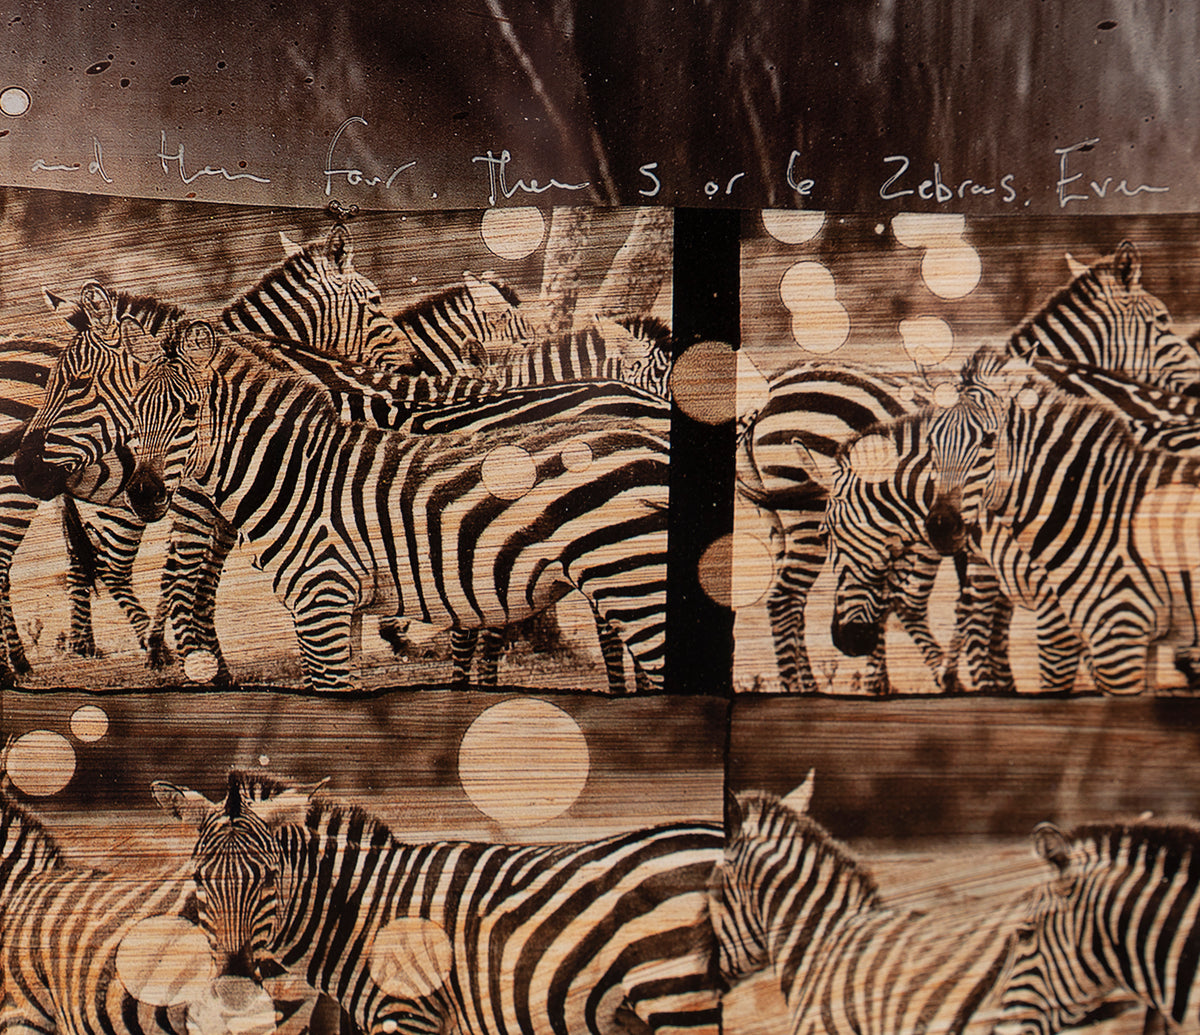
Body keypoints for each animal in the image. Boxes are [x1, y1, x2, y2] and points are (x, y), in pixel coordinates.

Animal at [152, 770, 723, 1035]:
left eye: (271, 877)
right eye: (199, 879)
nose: (232, 986)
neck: (363, 916)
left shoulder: (408, 1014)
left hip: (676, 995)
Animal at [738, 241, 1197, 694]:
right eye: (1162, 320)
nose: (1196, 385)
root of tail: (769, 390)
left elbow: (988, 612)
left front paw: (995, 677)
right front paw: (992, 678)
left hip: (783, 521)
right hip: (809, 520)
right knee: (787, 601)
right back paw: (815, 687)